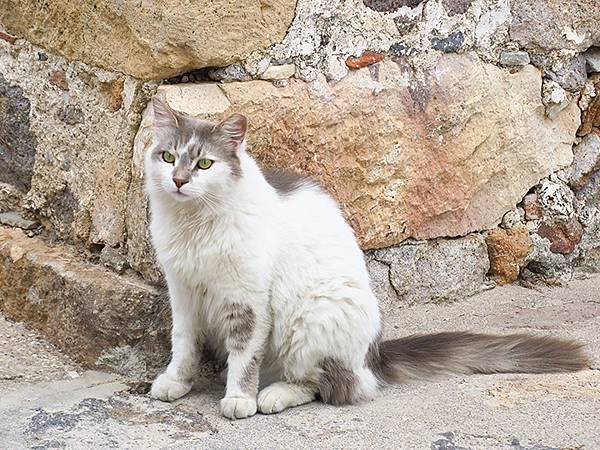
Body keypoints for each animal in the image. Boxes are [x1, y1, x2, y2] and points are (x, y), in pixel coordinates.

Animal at [146, 96, 592, 420]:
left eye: (205, 163)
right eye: (168, 157)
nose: (179, 181)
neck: (195, 225)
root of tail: (373, 355)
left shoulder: (247, 298)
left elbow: (244, 355)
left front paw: (239, 398)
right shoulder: (182, 291)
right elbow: (183, 344)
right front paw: (176, 382)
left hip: (311, 317)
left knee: (333, 386)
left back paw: (272, 395)